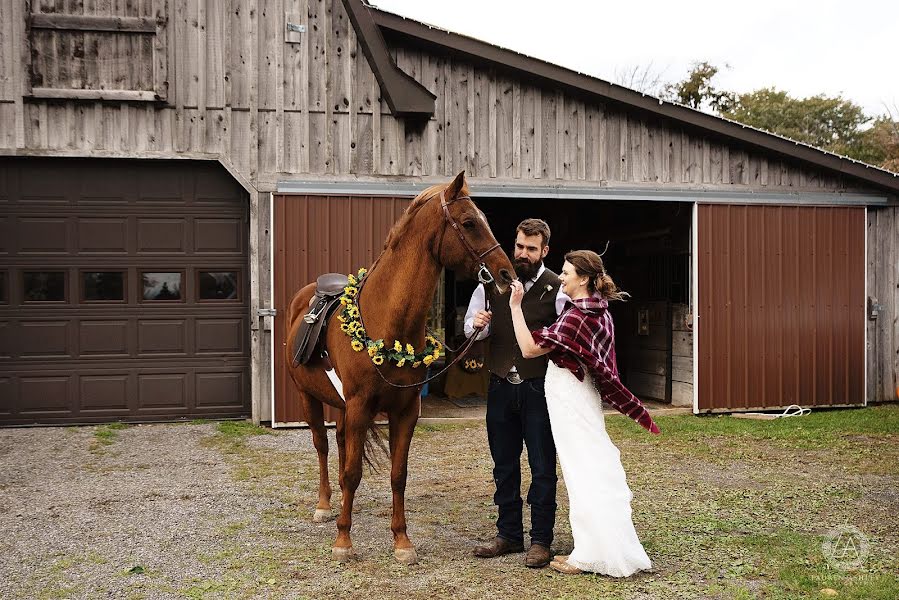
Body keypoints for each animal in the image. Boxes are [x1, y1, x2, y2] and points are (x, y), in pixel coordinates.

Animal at [288, 172, 512, 564]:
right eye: (470, 222)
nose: (505, 273)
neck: (387, 321)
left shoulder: (405, 411)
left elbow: (398, 474)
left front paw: (402, 541)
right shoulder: (360, 407)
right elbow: (353, 471)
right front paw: (343, 541)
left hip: (342, 407)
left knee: (340, 443)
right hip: (309, 398)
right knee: (322, 446)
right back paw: (325, 506)